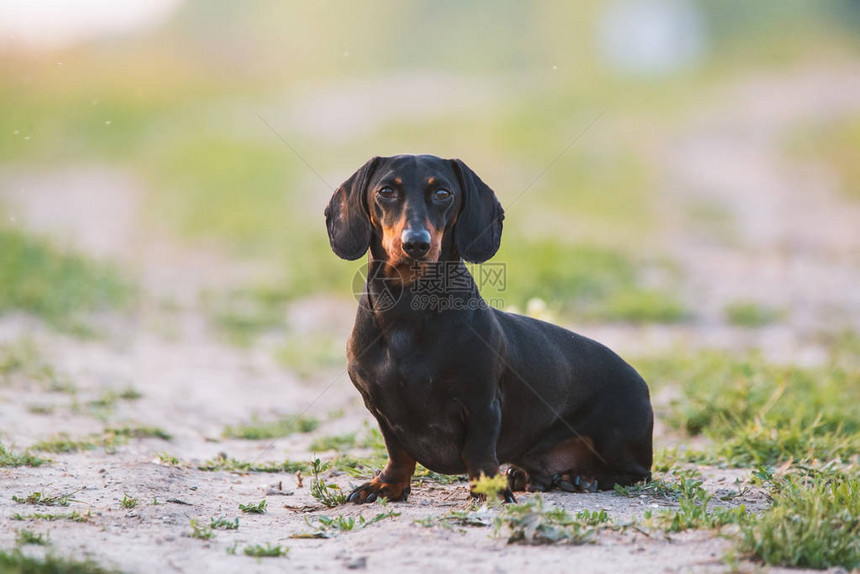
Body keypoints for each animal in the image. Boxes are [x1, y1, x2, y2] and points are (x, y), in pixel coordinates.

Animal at [324, 154, 652, 504]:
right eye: (386, 191)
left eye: (443, 193)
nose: (415, 244)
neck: (409, 309)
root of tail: (641, 381)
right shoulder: (381, 408)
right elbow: (398, 452)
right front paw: (388, 484)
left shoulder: (481, 402)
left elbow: (479, 450)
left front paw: (490, 489)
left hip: (618, 438)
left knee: (635, 473)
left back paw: (582, 477)